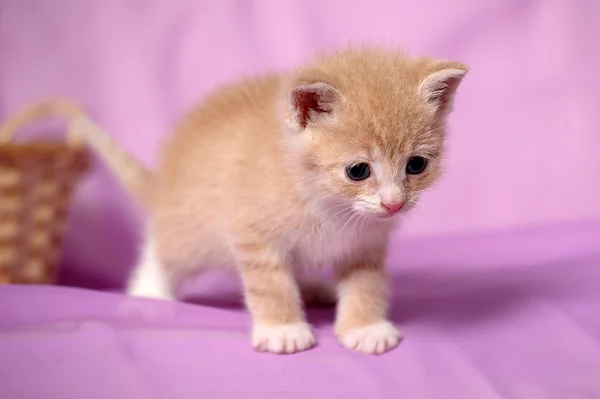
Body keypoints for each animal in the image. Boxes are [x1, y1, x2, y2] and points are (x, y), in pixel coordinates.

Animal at [76, 46, 468, 356]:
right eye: (357, 171)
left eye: (416, 165)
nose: (394, 204)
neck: (329, 205)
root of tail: (164, 179)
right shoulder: (253, 233)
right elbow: (270, 284)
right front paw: (283, 328)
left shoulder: (366, 244)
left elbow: (365, 283)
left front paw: (364, 326)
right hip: (193, 229)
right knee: (163, 248)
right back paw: (149, 293)